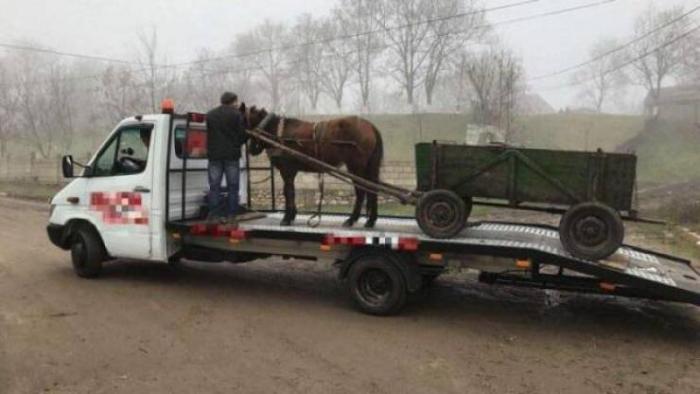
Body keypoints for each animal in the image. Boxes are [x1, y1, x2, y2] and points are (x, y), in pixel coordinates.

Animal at [241, 104, 382, 228]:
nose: (251, 149)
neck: (278, 133)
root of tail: (370, 126)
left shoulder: (286, 170)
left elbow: (288, 191)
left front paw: (287, 218)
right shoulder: (291, 171)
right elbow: (290, 191)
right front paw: (292, 215)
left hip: (356, 167)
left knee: (361, 190)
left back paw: (352, 219)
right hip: (369, 167)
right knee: (372, 188)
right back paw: (371, 220)